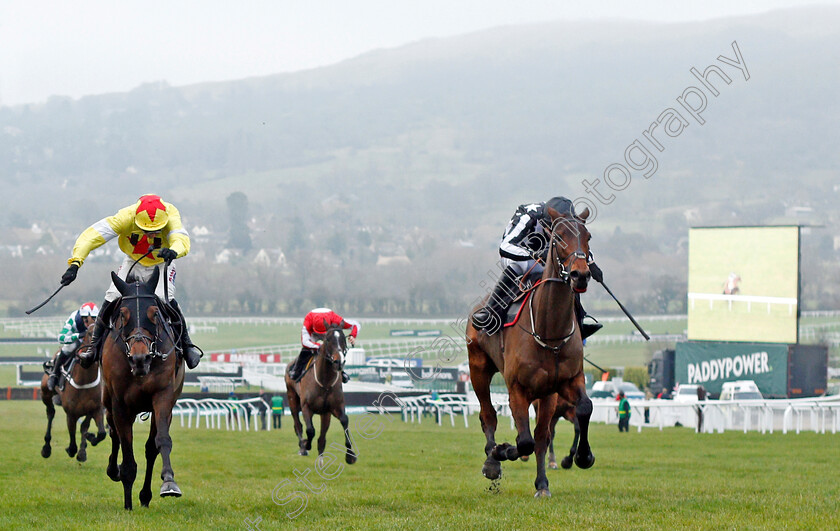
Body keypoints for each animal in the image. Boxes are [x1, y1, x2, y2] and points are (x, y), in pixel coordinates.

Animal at [40, 330, 106, 464]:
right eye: (90, 333)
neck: (84, 381)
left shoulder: (95, 408)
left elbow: (98, 432)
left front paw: (84, 448)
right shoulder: (71, 413)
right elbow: (72, 434)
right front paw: (72, 449)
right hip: (45, 393)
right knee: (50, 413)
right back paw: (46, 448)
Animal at [100, 270, 185, 512]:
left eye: (155, 313)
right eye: (122, 315)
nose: (141, 358)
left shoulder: (163, 397)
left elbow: (161, 441)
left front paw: (168, 483)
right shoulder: (120, 404)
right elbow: (127, 451)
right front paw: (127, 503)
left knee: (149, 448)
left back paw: (145, 496)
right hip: (108, 402)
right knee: (114, 433)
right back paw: (114, 470)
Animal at [286, 322, 358, 464]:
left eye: (343, 339)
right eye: (328, 340)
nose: (338, 362)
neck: (325, 382)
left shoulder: (334, 408)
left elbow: (345, 421)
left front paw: (350, 455)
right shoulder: (306, 406)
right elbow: (310, 430)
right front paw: (306, 444)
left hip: (325, 414)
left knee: (322, 438)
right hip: (292, 399)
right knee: (298, 424)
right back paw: (302, 447)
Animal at [466, 206, 596, 496]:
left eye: (588, 236)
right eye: (558, 237)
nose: (580, 275)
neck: (549, 331)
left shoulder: (563, 384)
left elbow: (580, 410)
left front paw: (578, 460)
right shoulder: (517, 389)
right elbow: (524, 440)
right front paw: (501, 451)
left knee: (539, 434)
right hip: (478, 368)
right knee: (488, 416)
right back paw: (492, 461)